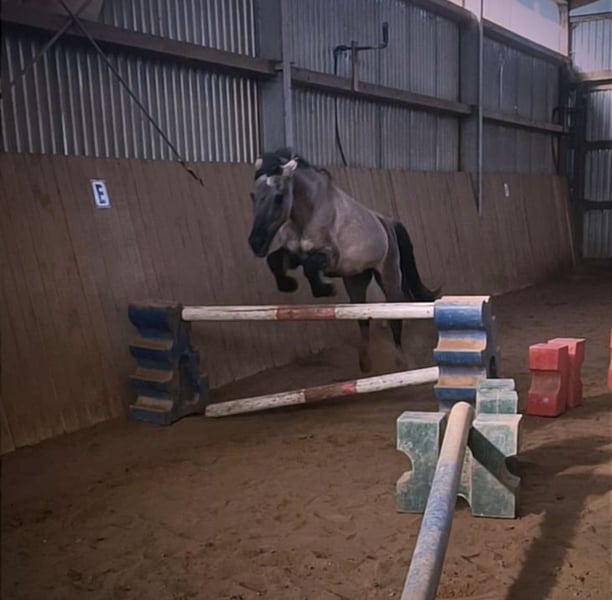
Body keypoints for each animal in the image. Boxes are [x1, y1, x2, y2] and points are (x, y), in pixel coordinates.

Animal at [247, 147, 439, 373]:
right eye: (253, 196)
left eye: (278, 198)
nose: (255, 243)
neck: (308, 211)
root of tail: (387, 222)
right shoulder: (294, 254)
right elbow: (275, 260)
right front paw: (288, 284)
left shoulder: (330, 257)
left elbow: (310, 267)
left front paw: (324, 289)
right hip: (355, 281)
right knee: (363, 320)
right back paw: (365, 362)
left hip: (389, 278)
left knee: (395, 319)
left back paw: (401, 361)